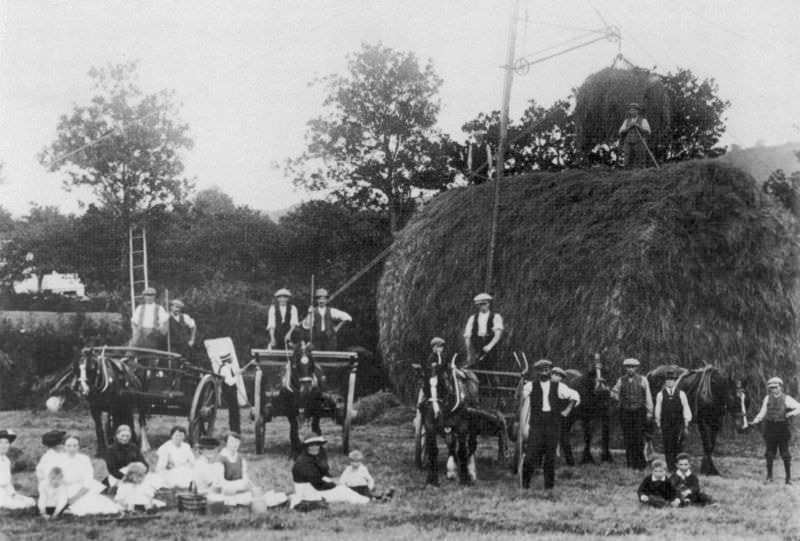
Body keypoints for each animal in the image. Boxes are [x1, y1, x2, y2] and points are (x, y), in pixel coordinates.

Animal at [418, 354, 482, 486]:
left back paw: (471, 471)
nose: (434, 412)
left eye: (442, 384)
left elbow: (462, 451)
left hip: (473, 422)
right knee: (452, 444)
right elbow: (433, 450)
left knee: (471, 445)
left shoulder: (462, 426)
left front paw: (465, 478)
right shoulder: (430, 426)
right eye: (424, 386)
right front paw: (432, 479)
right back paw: (452, 469)